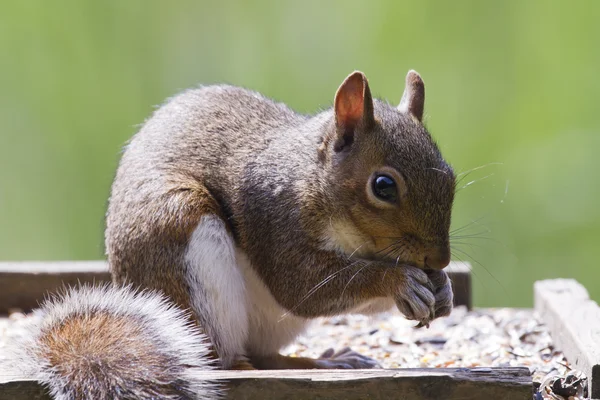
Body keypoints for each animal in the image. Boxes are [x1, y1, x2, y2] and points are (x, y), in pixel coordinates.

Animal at [12, 70, 454, 398]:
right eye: (383, 186)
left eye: (449, 176)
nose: (440, 260)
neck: (309, 178)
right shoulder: (274, 219)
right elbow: (301, 288)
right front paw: (398, 281)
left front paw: (444, 288)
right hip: (186, 244)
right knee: (225, 360)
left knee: (268, 358)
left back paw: (323, 362)